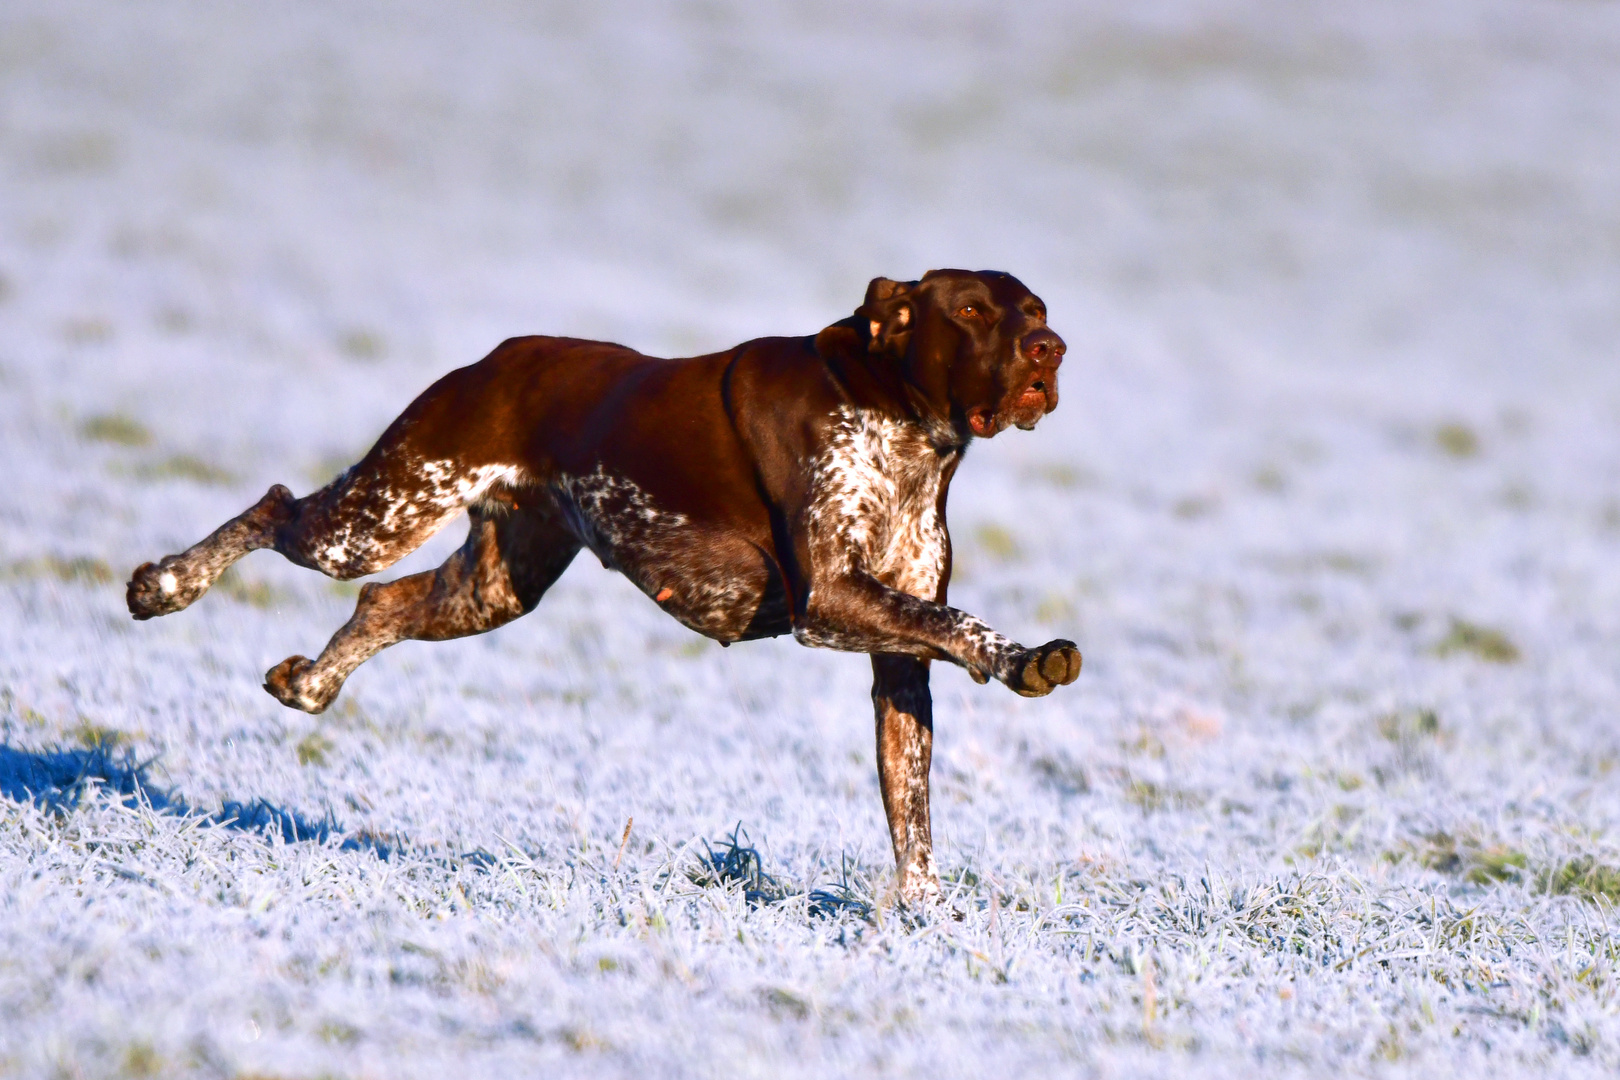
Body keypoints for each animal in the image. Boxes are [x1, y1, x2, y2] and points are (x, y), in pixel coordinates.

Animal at [126, 270, 1082, 906]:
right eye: (970, 311)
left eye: (1036, 312)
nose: (1051, 350)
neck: (903, 427)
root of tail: (497, 357)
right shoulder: (831, 604)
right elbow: (959, 624)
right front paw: (1023, 656)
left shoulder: (895, 666)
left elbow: (912, 819)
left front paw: (927, 925)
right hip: (376, 517)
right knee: (275, 507)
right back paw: (163, 585)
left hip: (492, 586)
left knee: (381, 604)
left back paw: (310, 683)